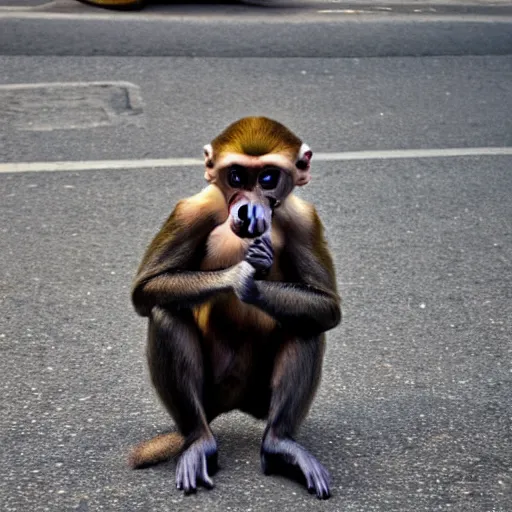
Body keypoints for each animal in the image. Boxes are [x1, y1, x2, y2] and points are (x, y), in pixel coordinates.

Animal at [128, 117, 340, 500]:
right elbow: (146, 289)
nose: (249, 206)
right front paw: (242, 274)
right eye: (237, 176)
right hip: (209, 390)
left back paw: (279, 443)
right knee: (166, 310)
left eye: (268, 178)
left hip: (259, 395)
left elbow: (327, 308)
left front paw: (255, 276)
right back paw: (199, 440)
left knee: (307, 323)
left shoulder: (304, 217)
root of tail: (230, 403)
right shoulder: (192, 209)